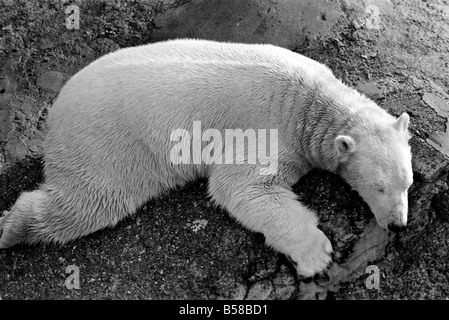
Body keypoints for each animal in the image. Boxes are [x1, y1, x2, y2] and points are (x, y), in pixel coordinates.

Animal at [0, 38, 412, 276]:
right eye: (378, 187)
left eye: (407, 183)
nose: (397, 224)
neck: (314, 103)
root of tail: (56, 111)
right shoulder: (270, 125)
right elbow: (240, 185)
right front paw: (317, 254)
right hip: (108, 143)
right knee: (92, 201)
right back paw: (10, 229)